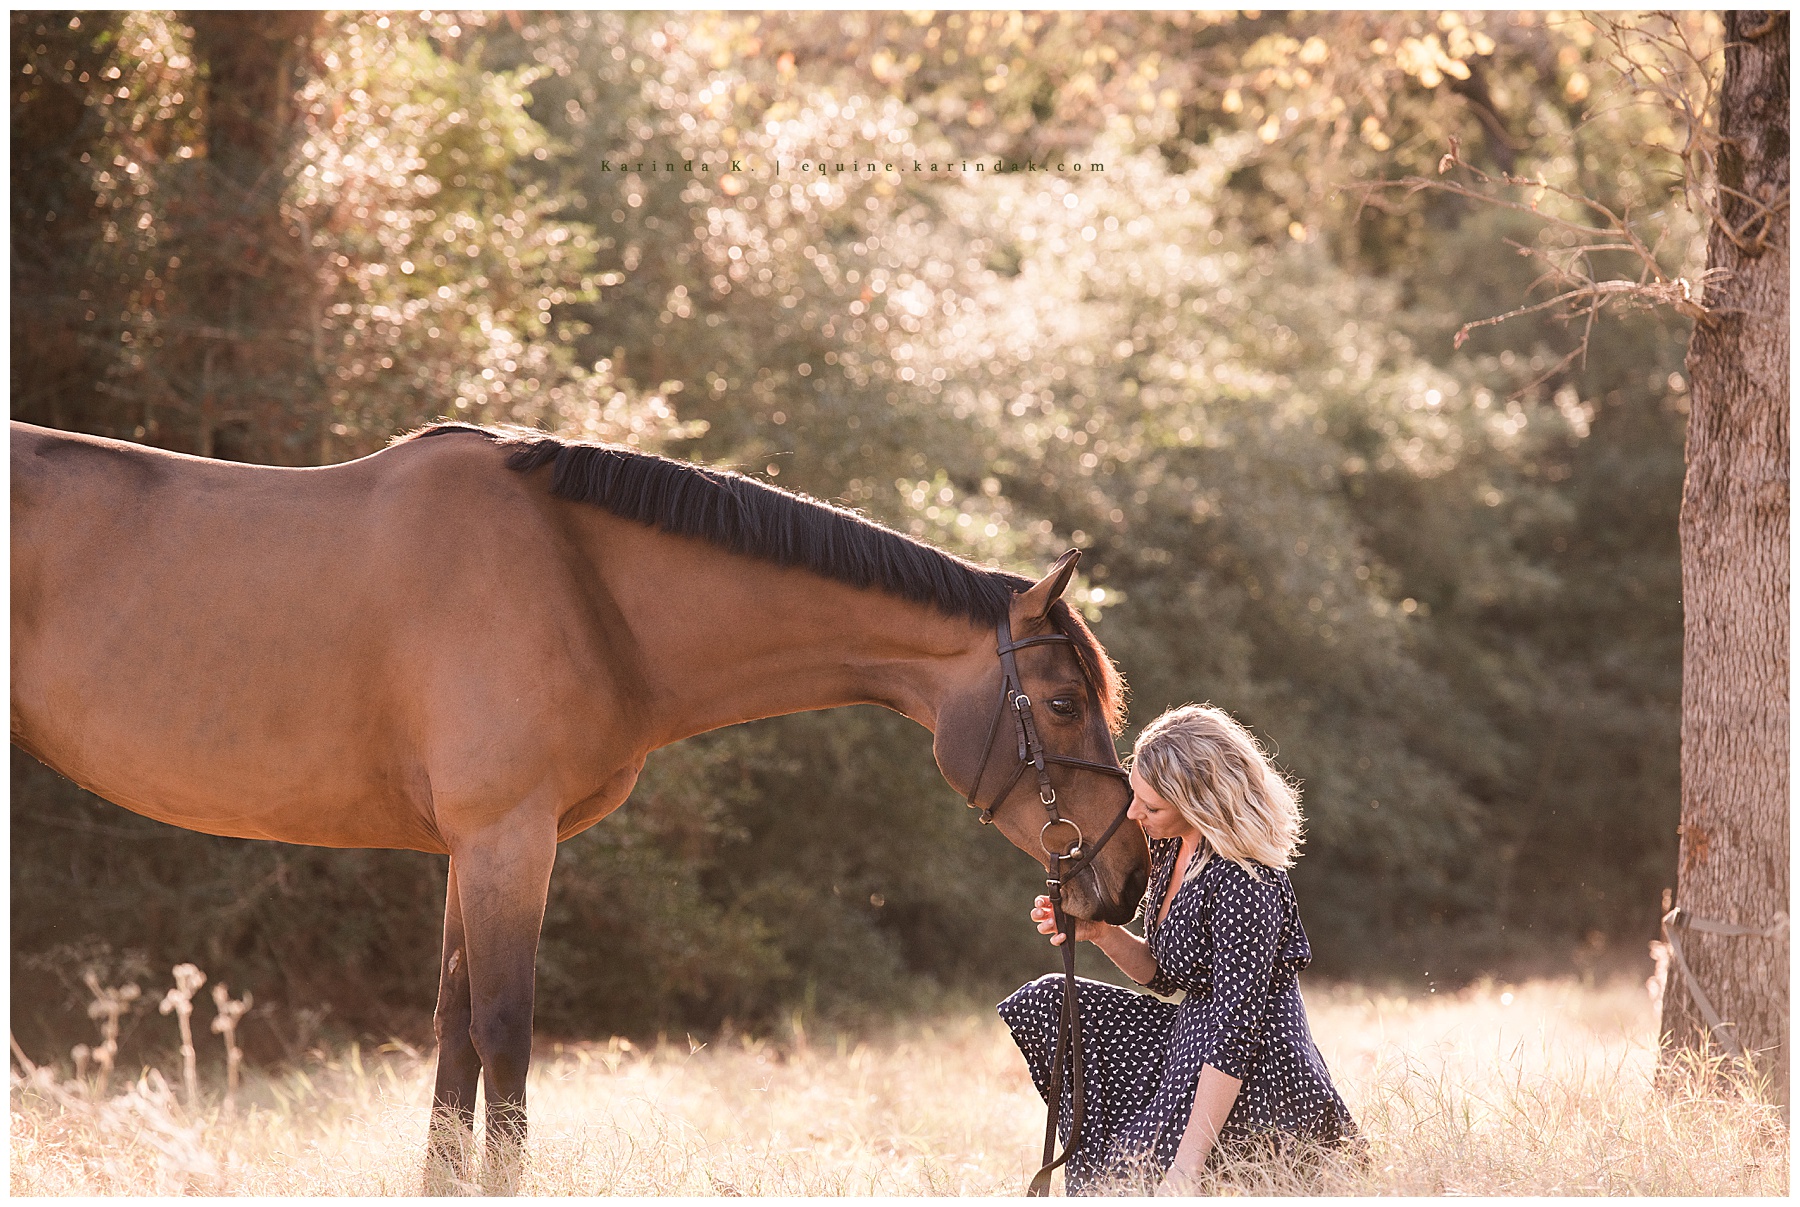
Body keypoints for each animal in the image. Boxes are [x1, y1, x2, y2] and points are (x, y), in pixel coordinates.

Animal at [10, 418, 1150, 1180]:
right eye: (1059, 701)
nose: (1127, 876)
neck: (579, 585)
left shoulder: (475, 851)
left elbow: (453, 1038)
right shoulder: (507, 840)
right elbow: (505, 1036)